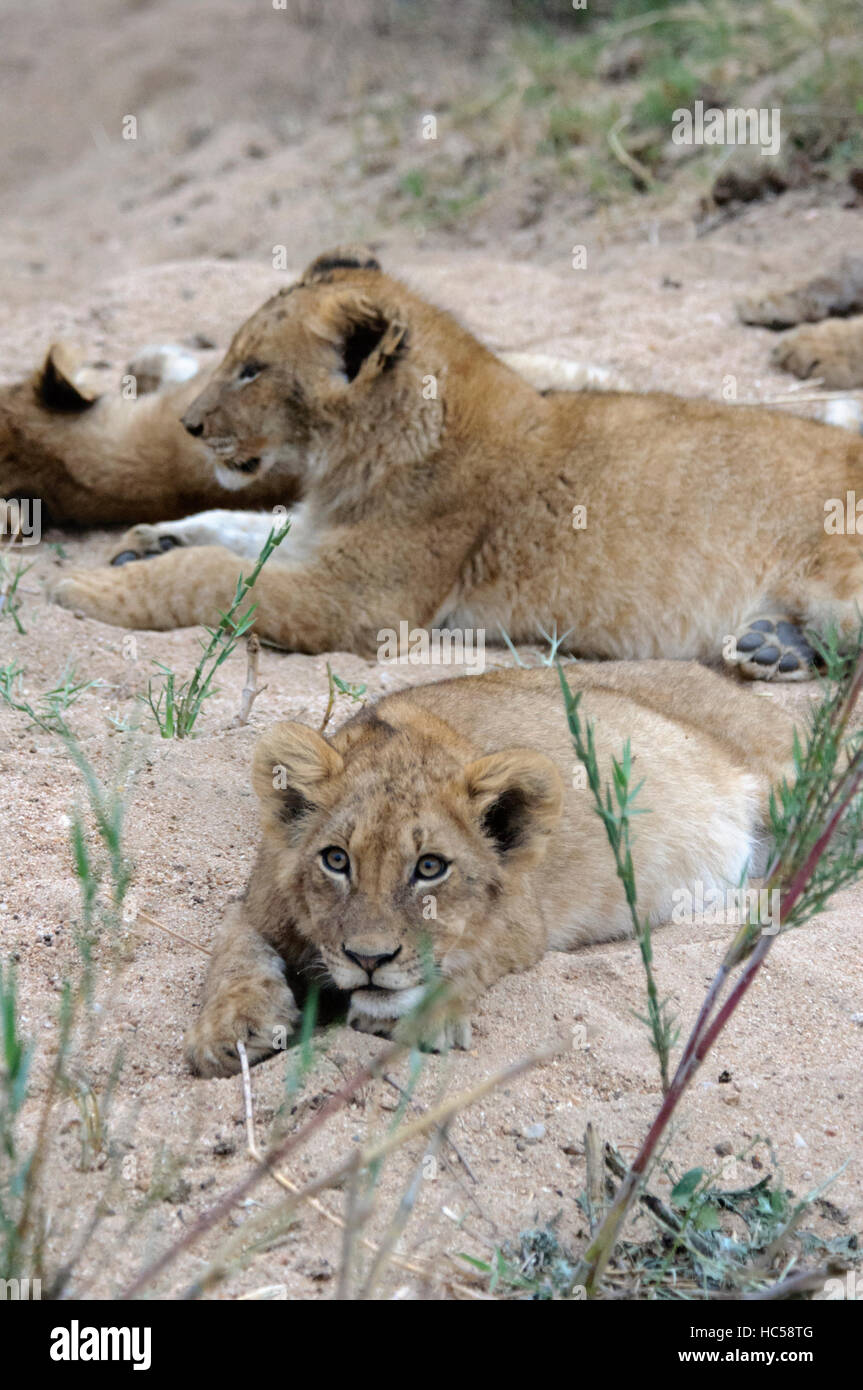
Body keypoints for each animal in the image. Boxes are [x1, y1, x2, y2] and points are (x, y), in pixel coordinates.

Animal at [49, 245, 863, 681]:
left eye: (252, 369)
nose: (189, 424)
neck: (348, 460)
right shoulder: (322, 540)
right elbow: (244, 530)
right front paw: (150, 539)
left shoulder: (360, 605)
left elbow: (214, 576)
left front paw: (88, 588)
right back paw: (773, 647)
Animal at [185, 660, 793, 1077]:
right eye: (336, 860)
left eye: (430, 867)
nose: (370, 960)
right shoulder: (257, 904)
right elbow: (233, 950)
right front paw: (231, 1029)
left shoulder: (524, 922)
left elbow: (466, 958)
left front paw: (412, 1013)